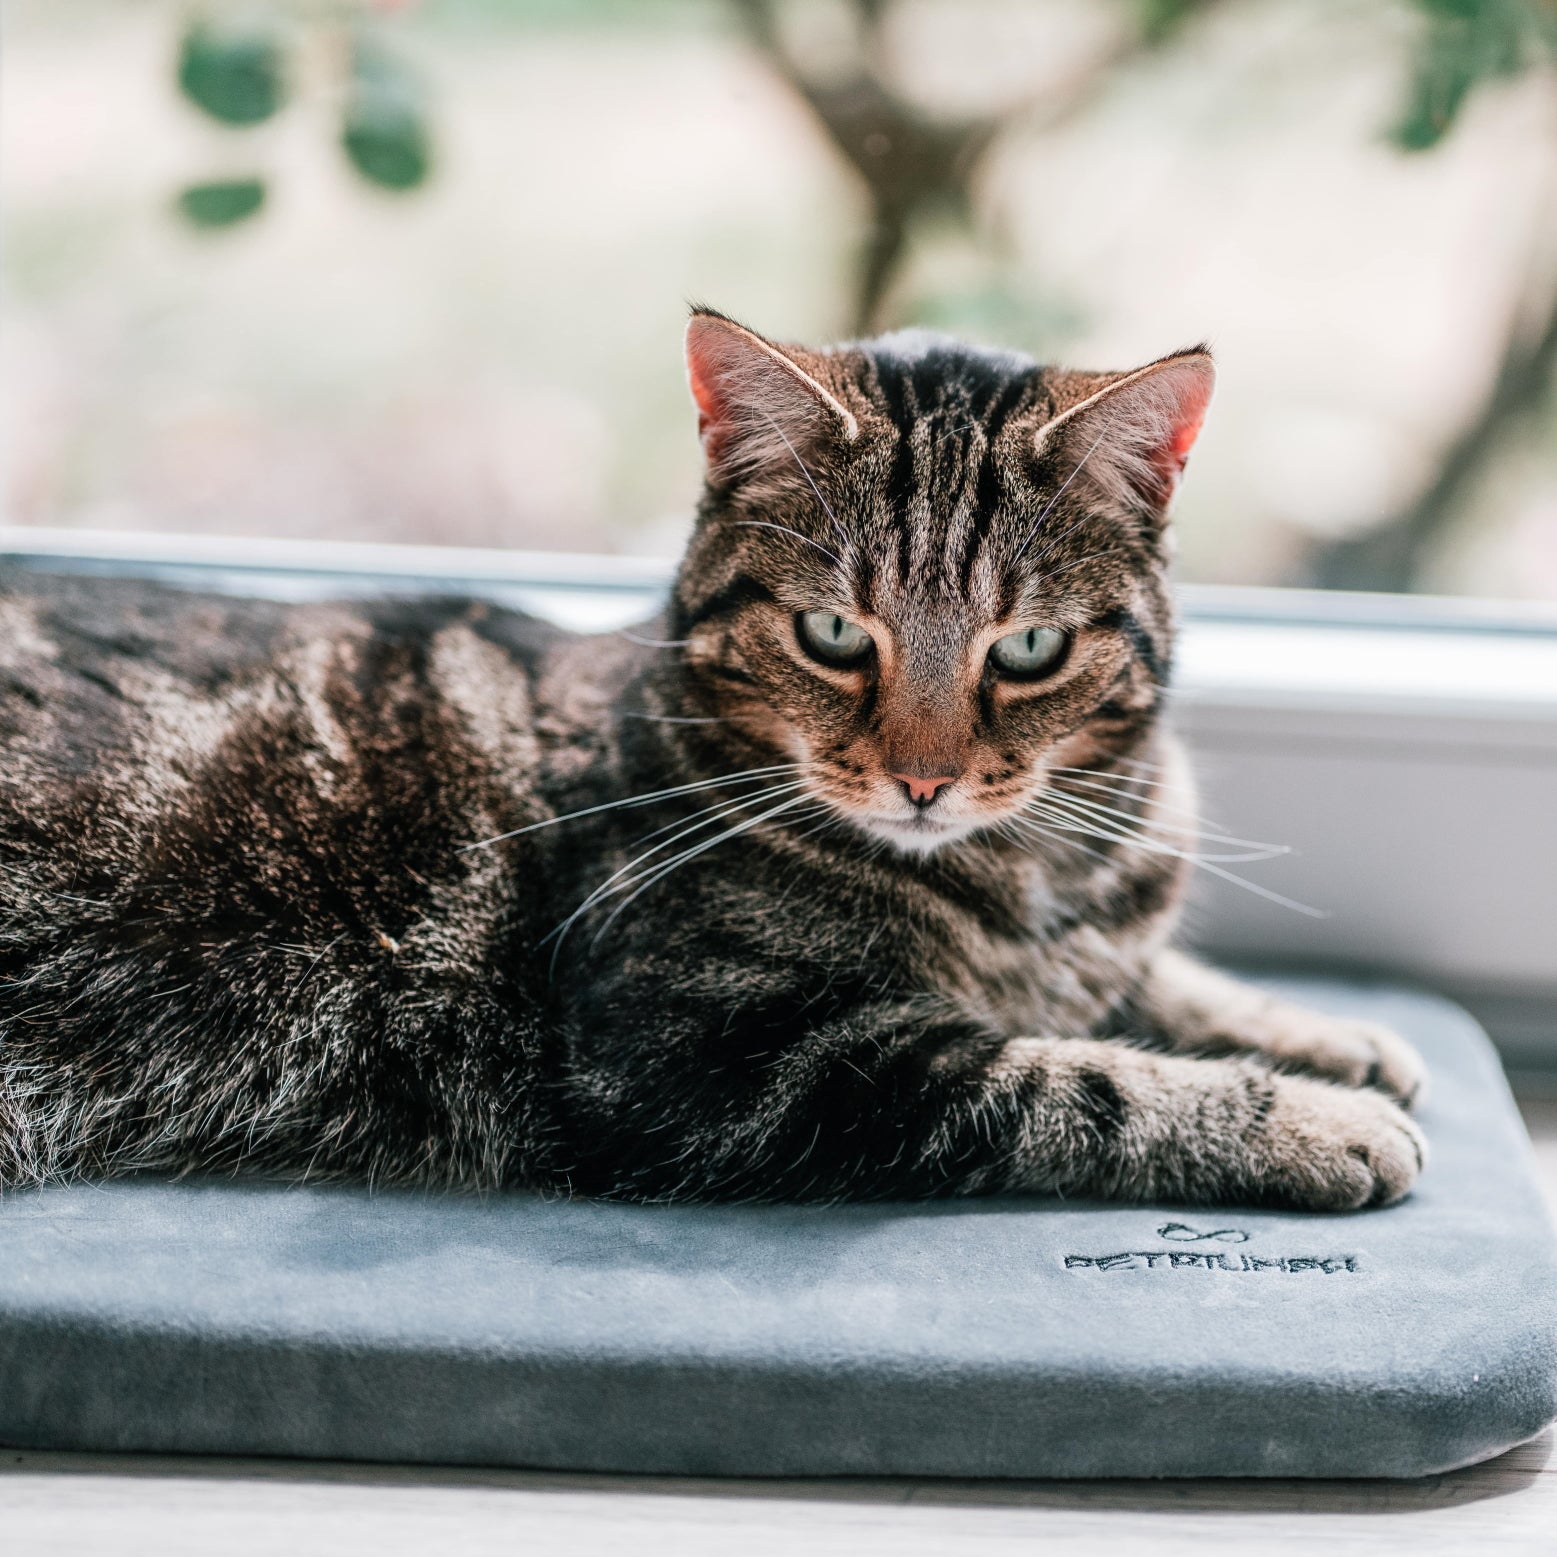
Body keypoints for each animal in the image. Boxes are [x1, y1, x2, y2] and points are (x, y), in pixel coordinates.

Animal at [0, 303, 1426, 1202]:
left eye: (1026, 649)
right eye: (833, 632)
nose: (923, 779)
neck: (1033, 872)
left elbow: (1149, 982)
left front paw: (1324, 1035)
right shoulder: (722, 1059)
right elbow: (1075, 1083)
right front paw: (1318, 1118)